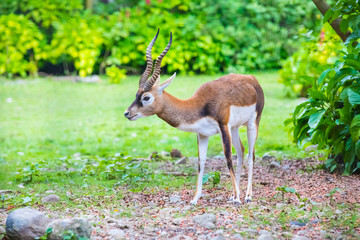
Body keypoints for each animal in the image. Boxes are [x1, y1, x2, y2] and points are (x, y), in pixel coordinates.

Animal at [124, 29, 264, 203]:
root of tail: (252, 79)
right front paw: (195, 198)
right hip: (235, 127)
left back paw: (247, 196)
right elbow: (200, 162)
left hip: (252, 123)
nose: (127, 113)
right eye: (136, 94)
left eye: (146, 97)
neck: (198, 105)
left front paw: (238, 198)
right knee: (241, 151)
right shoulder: (202, 134)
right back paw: (233, 195)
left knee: (251, 154)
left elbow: (227, 158)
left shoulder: (223, 126)